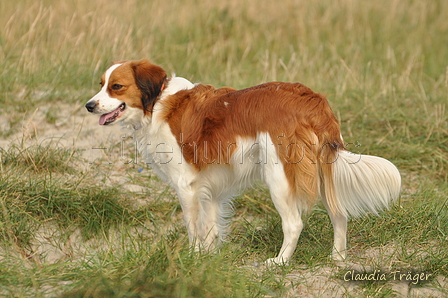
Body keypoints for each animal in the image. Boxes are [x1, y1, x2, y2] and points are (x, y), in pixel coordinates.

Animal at [86, 59, 400, 264]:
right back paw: (337, 257)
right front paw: (208, 259)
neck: (158, 102)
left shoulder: (186, 187)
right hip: (322, 174)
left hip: (280, 177)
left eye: (116, 86)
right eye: (100, 85)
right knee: (339, 214)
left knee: (294, 224)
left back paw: (280, 262)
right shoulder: (210, 188)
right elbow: (211, 227)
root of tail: (312, 100)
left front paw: (192, 259)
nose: (89, 105)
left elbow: (194, 228)